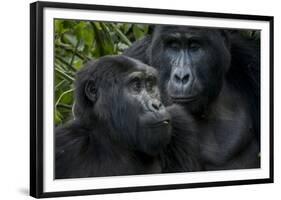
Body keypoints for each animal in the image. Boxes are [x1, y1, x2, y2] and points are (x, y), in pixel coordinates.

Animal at [54, 55, 200, 179]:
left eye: (150, 85)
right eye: (136, 86)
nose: (157, 105)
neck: (112, 139)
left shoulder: (180, 122)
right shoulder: (65, 142)